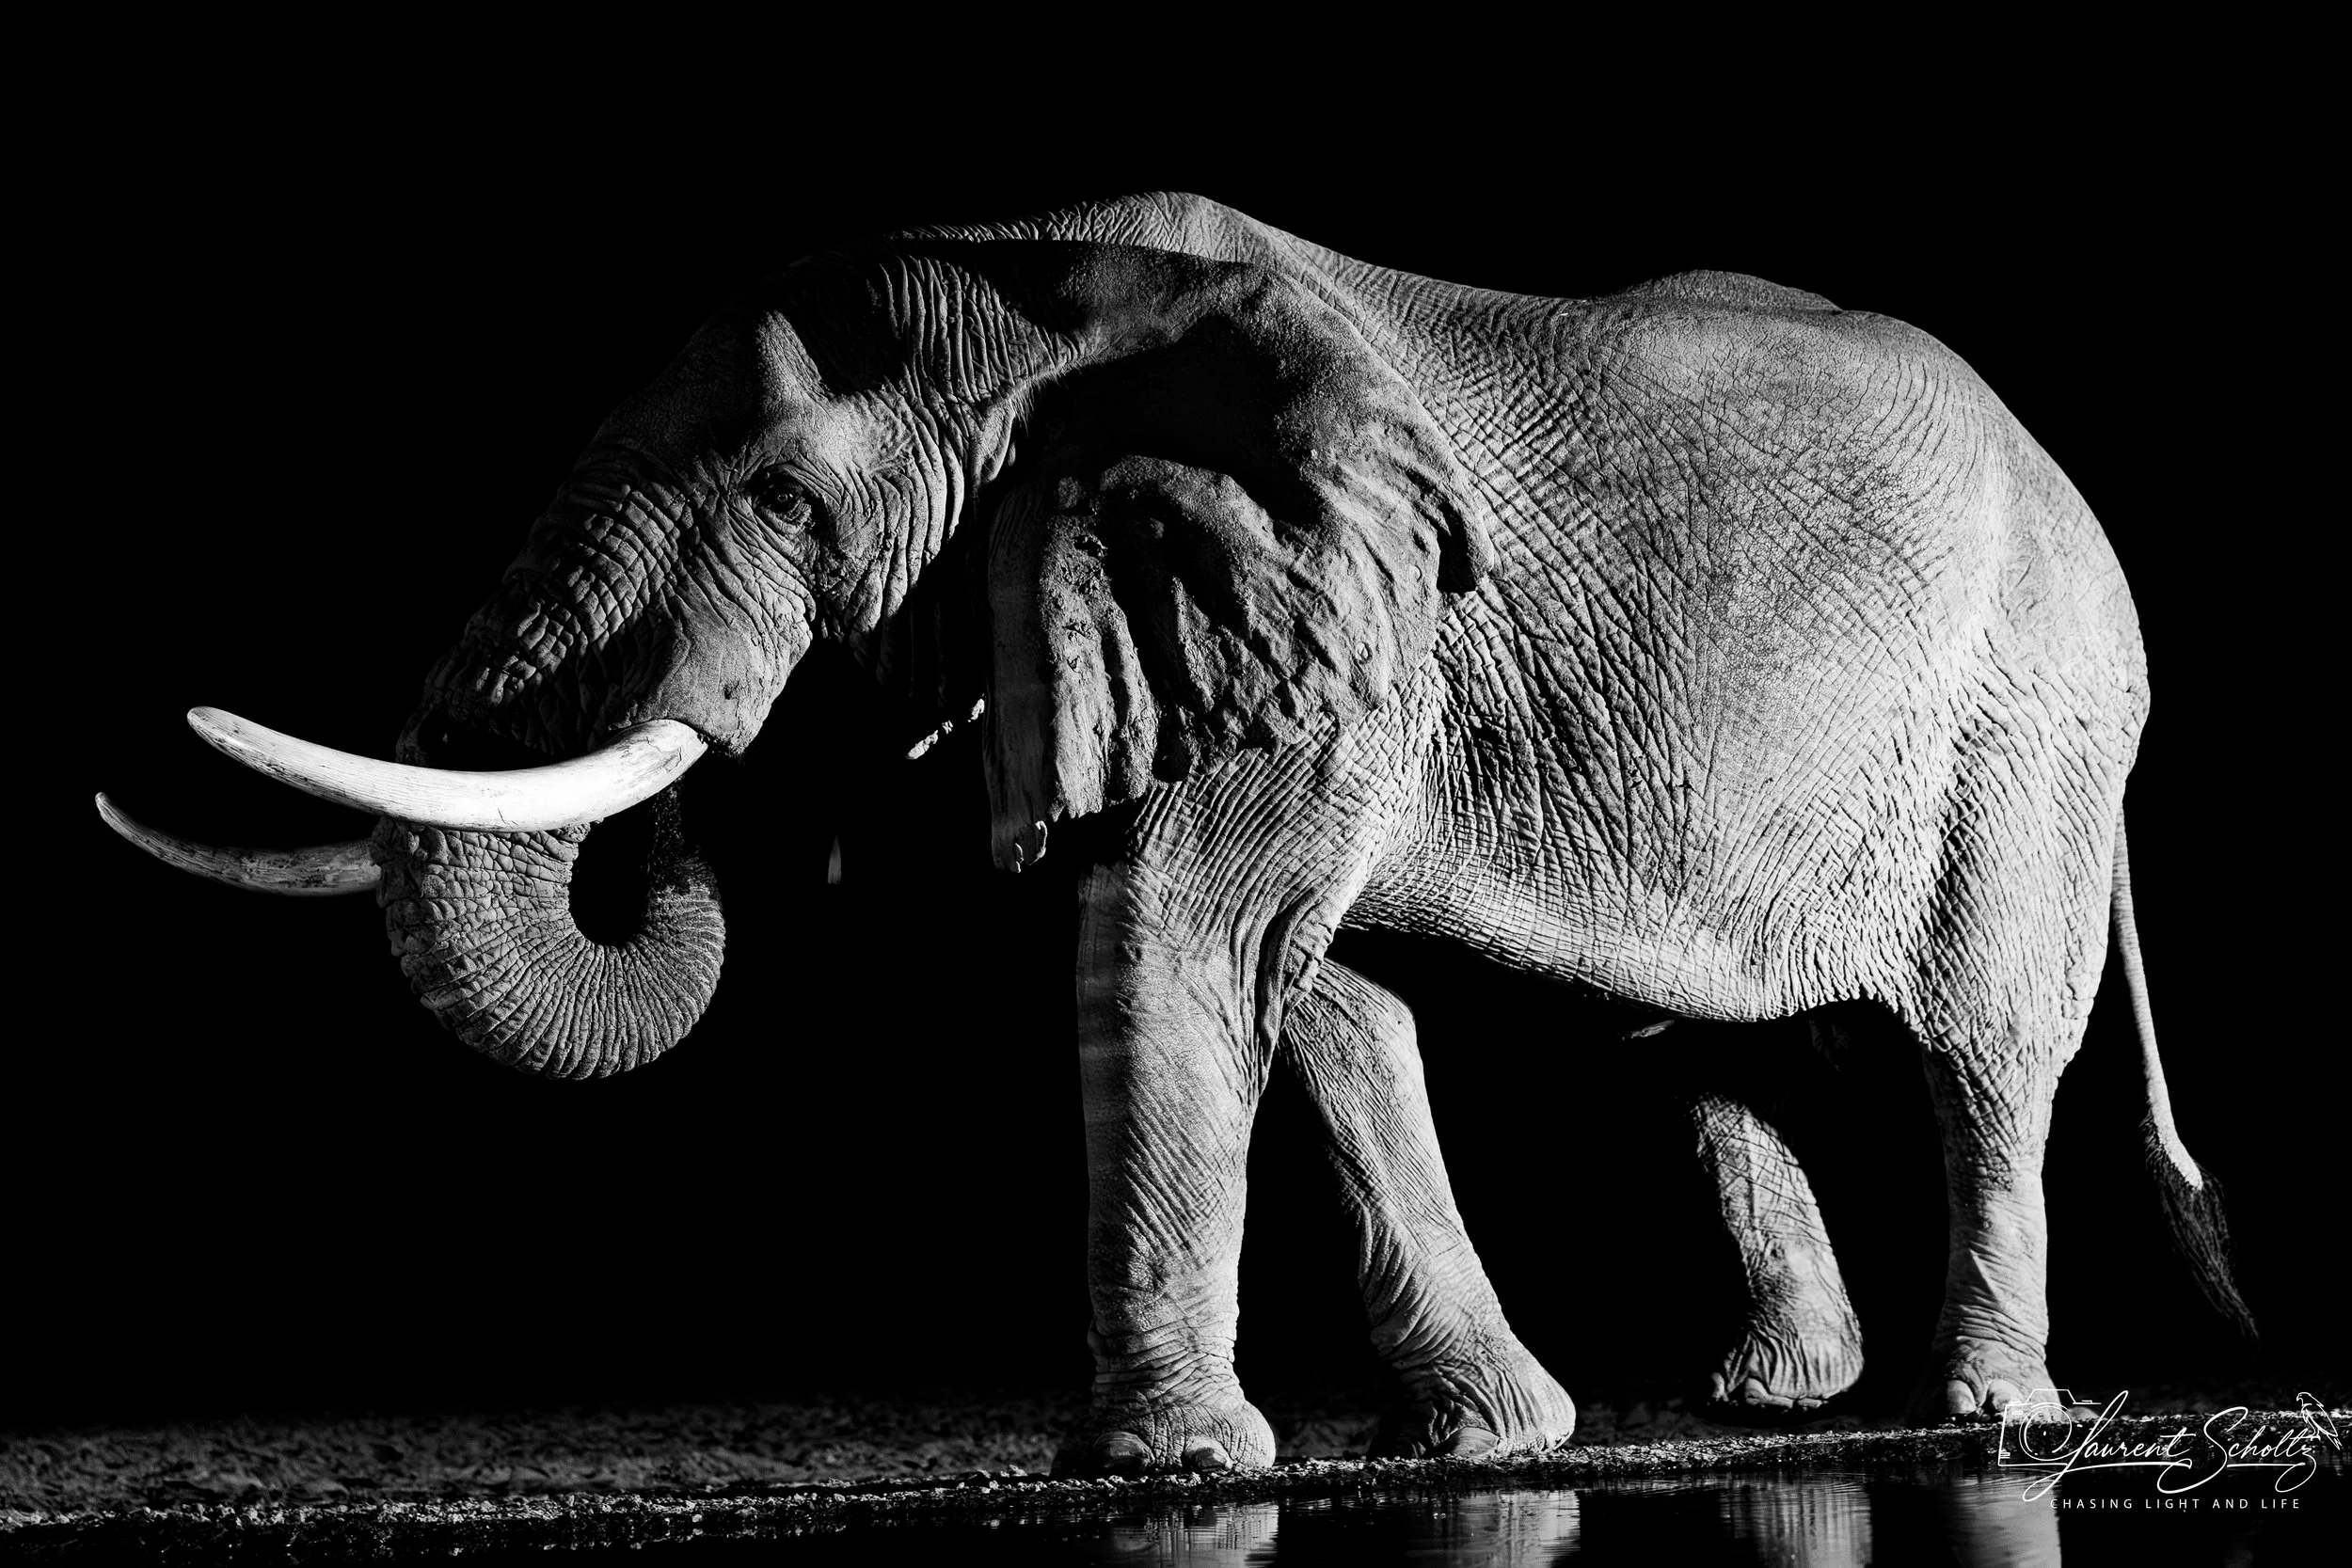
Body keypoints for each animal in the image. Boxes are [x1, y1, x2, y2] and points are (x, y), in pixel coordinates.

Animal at [100, 190, 2250, 1474]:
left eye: (791, 508)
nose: (748, 769)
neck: (1040, 284)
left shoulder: (1324, 617)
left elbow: (1183, 935)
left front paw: (1163, 1470)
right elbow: (1326, 1002)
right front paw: (1490, 1444)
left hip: (2033, 732)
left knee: (1985, 1054)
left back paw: (1983, 1417)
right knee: (1705, 1058)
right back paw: (1763, 1395)